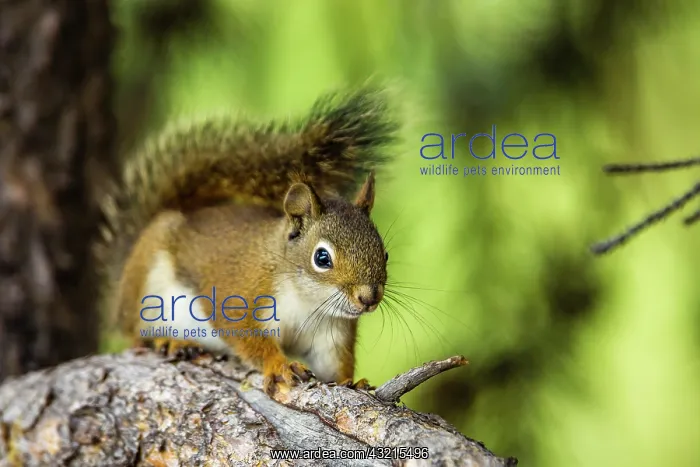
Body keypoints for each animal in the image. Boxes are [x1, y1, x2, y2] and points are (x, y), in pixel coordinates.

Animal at [95, 86, 399, 396]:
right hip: (146, 287)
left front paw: (352, 382)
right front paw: (279, 365)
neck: (307, 300)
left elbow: (334, 365)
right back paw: (167, 341)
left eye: (385, 254)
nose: (368, 298)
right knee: (134, 333)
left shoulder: (330, 334)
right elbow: (249, 339)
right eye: (322, 258)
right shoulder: (238, 296)